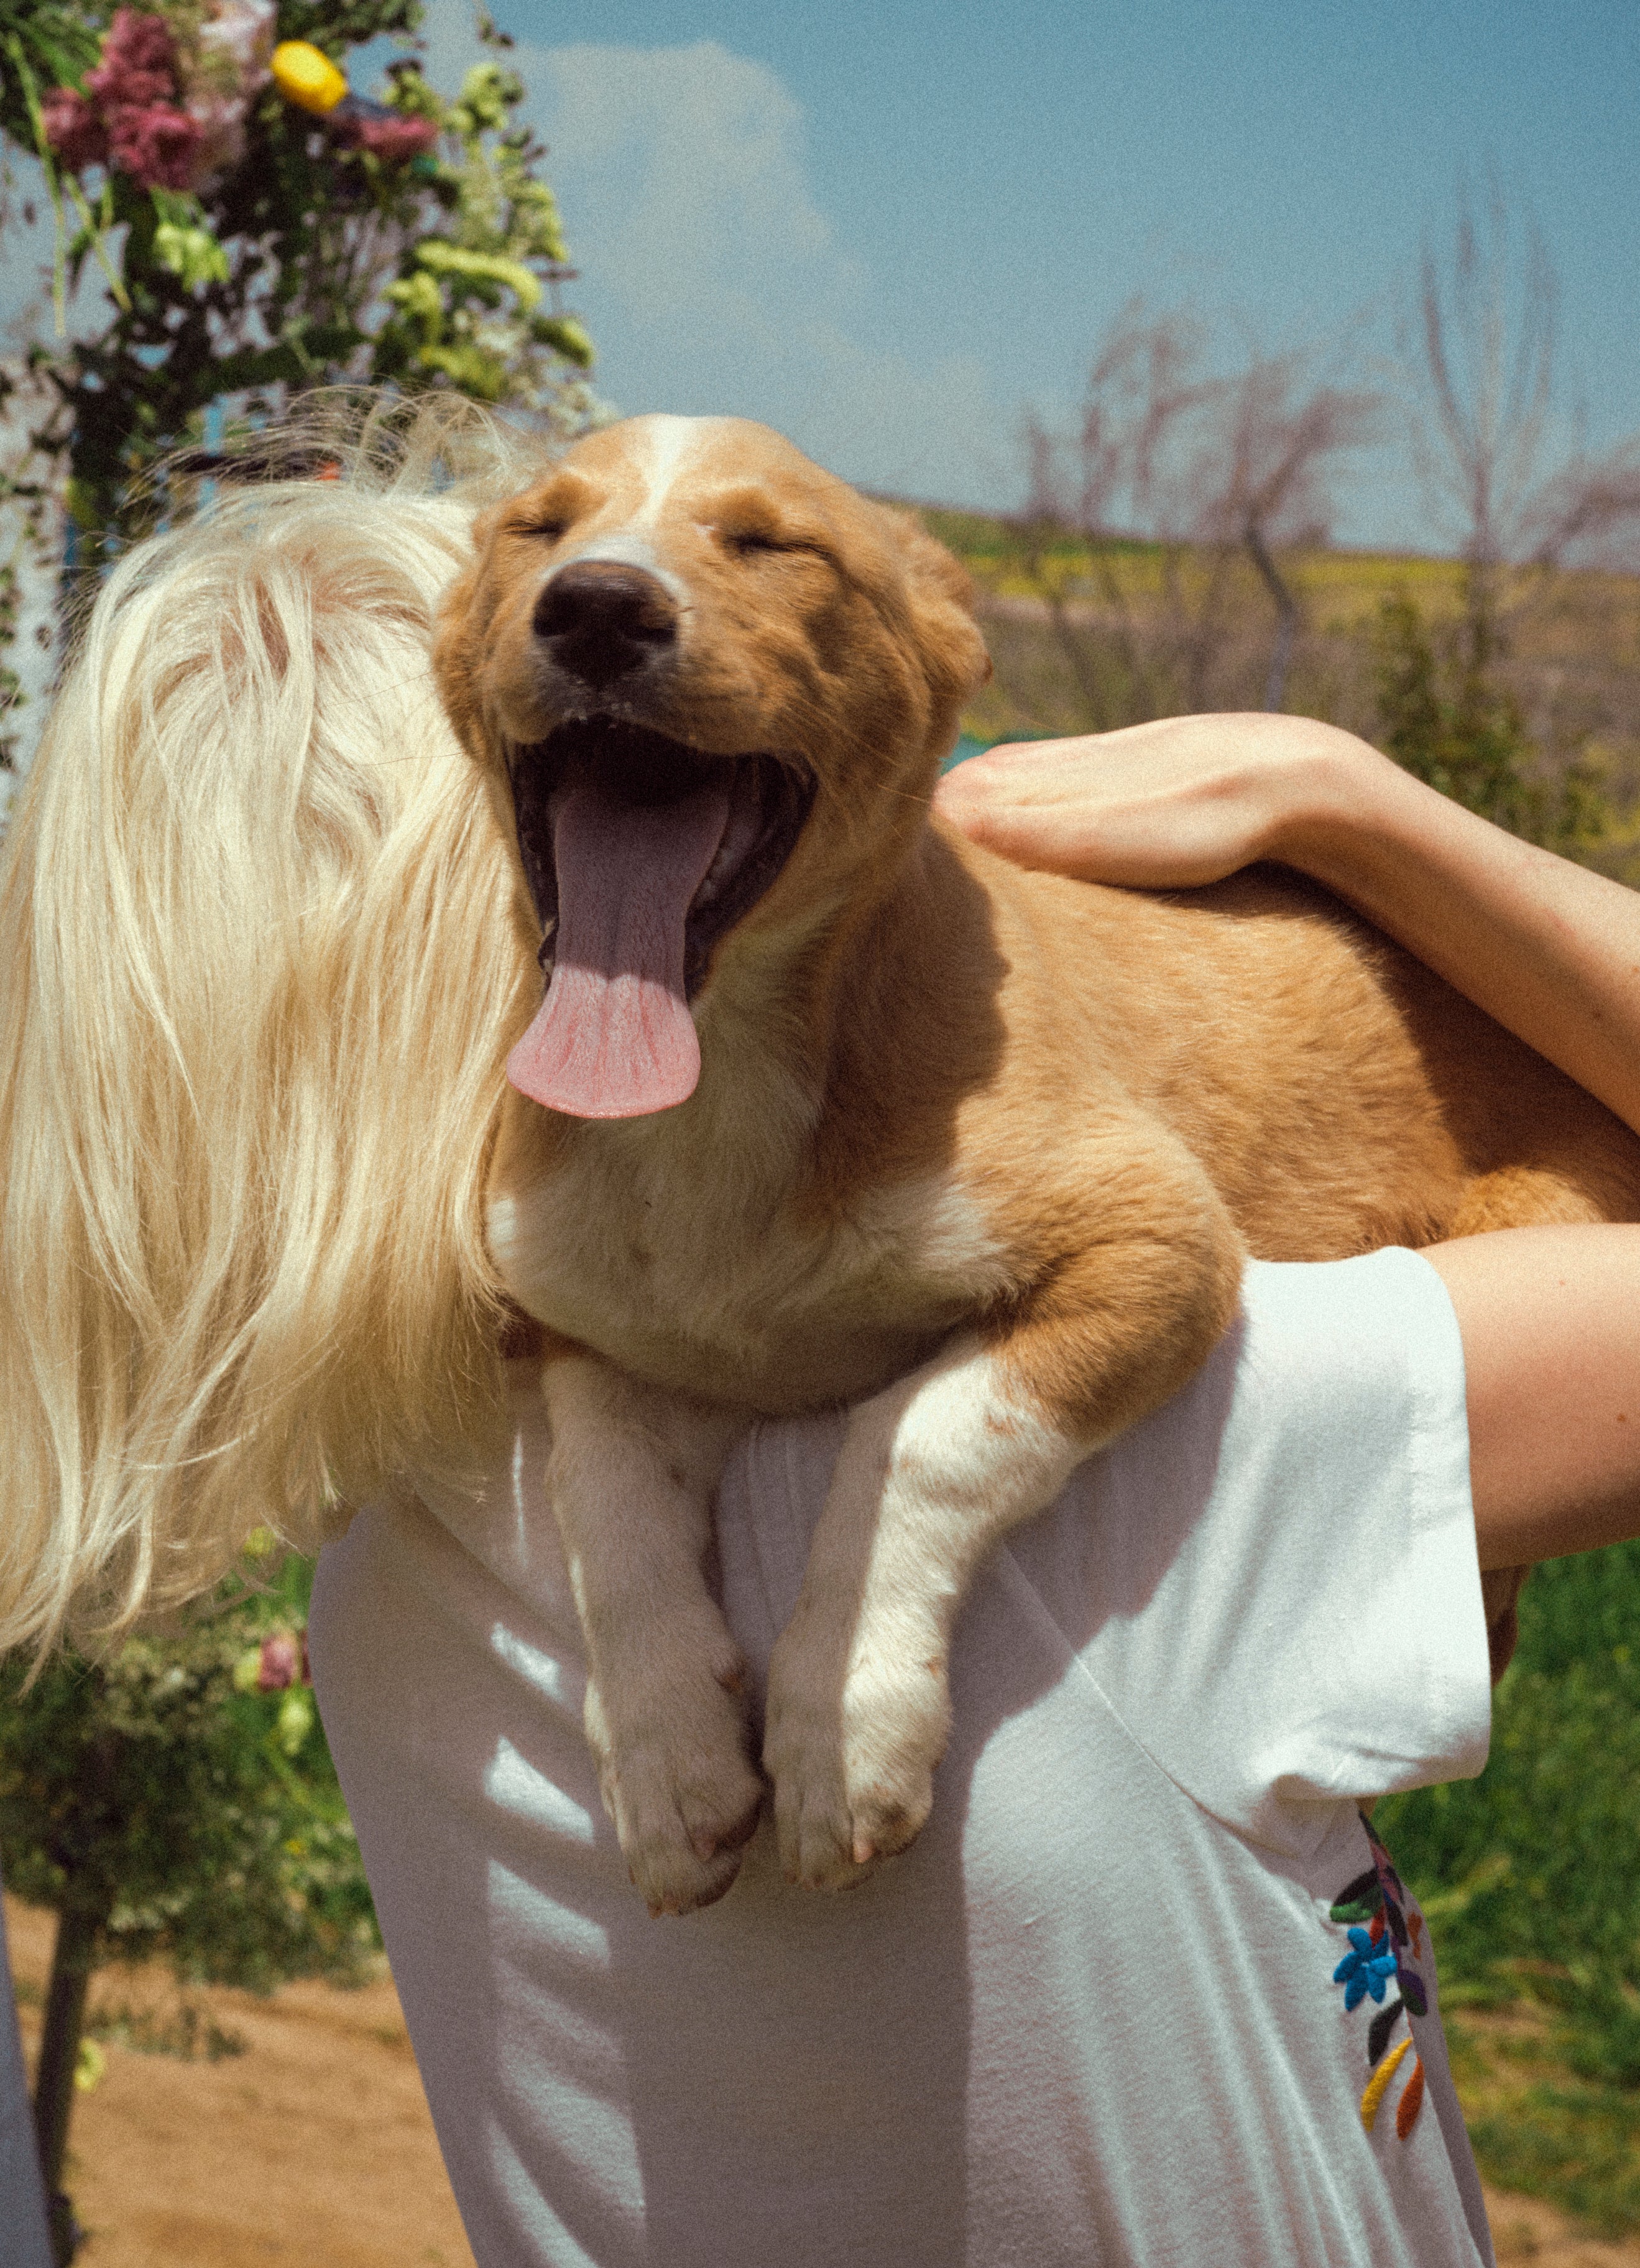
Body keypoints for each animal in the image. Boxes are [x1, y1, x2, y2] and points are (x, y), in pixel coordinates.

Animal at [6, 403, 1633, 1914]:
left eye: (767, 543)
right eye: (539, 526)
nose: (597, 608)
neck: (715, 1092)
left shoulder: (1158, 1243)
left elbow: (917, 1429)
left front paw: (841, 1722)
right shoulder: (587, 1328)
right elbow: (602, 1496)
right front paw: (667, 1754)